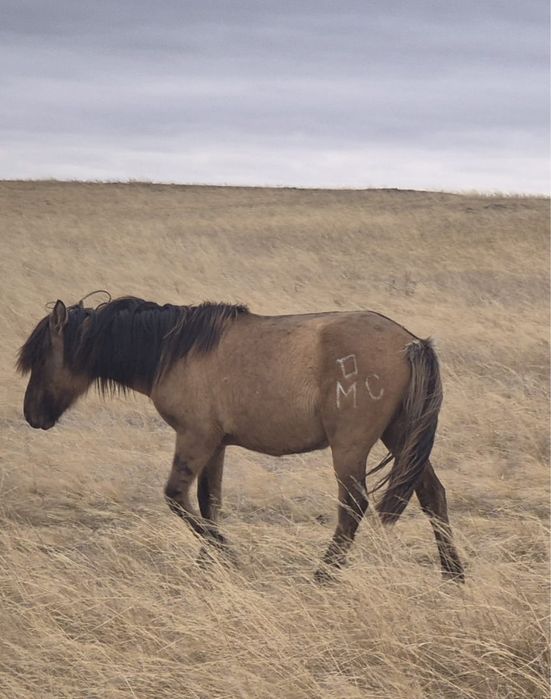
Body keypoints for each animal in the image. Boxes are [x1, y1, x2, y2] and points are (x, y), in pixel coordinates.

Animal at [17, 296, 464, 582]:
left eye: (40, 358)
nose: (31, 415)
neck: (174, 351)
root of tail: (409, 342)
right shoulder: (216, 445)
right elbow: (208, 504)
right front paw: (208, 564)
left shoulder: (194, 438)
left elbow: (176, 498)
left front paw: (228, 558)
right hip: (400, 437)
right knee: (433, 495)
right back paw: (453, 575)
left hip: (351, 448)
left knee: (352, 507)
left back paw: (323, 576)